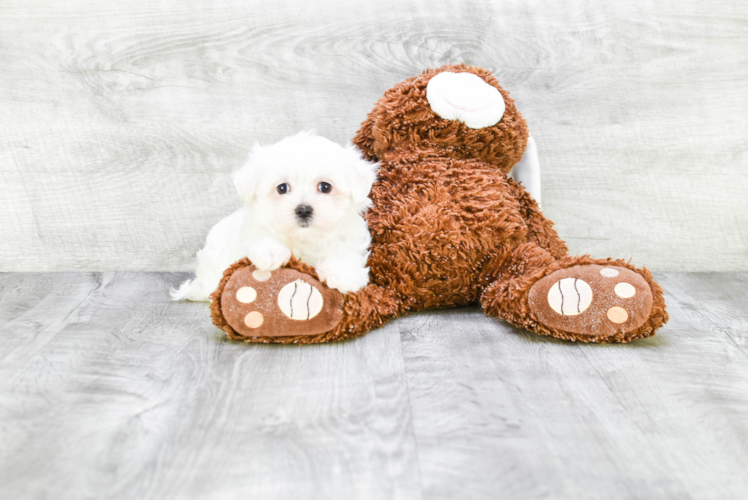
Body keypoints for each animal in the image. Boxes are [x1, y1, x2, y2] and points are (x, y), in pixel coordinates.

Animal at [172, 131, 376, 300]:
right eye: (282, 188)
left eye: (325, 186)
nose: (303, 209)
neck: (304, 239)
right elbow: (261, 237)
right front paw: (271, 253)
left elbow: (344, 252)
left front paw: (342, 274)